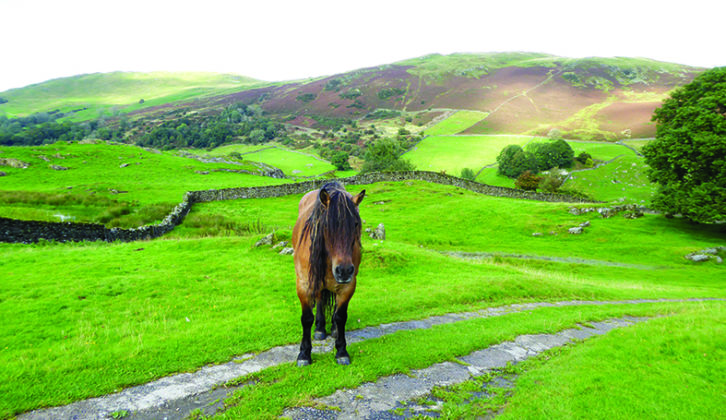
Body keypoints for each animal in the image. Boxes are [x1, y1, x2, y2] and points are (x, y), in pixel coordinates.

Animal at [292, 182, 366, 366]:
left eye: (355, 224)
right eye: (326, 225)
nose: (344, 270)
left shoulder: (348, 286)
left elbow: (340, 316)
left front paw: (341, 351)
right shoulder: (304, 284)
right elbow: (306, 318)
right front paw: (304, 354)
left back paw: (331, 329)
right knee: (319, 299)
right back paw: (319, 328)